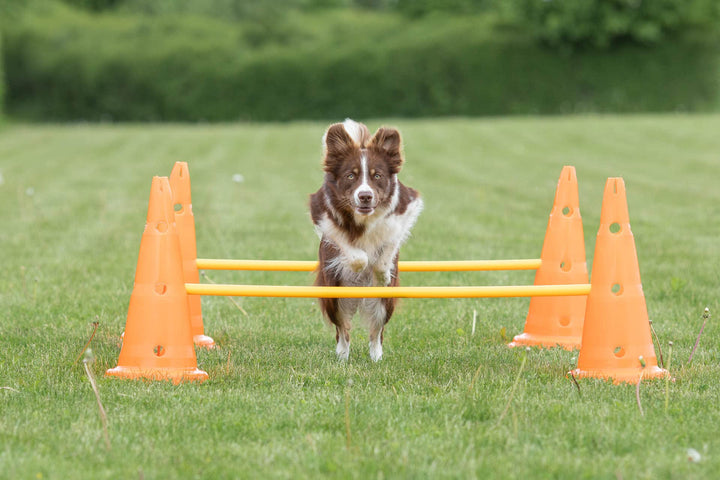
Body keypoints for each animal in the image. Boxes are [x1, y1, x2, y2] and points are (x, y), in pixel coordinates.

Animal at [310, 119, 422, 360]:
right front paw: (359, 264)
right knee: (343, 328)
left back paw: (376, 356)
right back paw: (342, 356)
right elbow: (351, 249)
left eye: (377, 175)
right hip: (333, 294)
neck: (365, 217)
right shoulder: (321, 212)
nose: (365, 196)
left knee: (376, 330)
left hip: (384, 303)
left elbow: (388, 244)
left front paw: (381, 274)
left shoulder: (407, 208)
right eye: (351, 176)